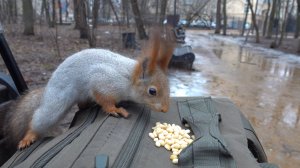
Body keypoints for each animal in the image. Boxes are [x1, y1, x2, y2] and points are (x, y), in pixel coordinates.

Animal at [2, 30, 175, 150]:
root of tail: (47, 90)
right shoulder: (103, 80)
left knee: (81, 105)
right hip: (57, 101)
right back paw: (29, 137)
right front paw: (115, 109)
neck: (129, 79)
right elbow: (104, 98)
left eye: (168, 84)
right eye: (152, 91)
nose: (166, 109)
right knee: (41, 118)